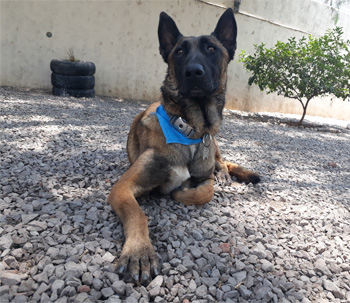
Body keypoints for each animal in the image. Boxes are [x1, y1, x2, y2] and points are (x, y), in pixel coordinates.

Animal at [108, 8, 262, 286]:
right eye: (179, 52)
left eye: (212, 49)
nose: (193, 72)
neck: (189, 129)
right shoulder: (122, 188)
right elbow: (137, 214)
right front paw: (139, 252)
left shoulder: (205, 173)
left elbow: (205, 191)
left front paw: (185, 192)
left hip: (216, 143)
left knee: (223, 161)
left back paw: (225, 174)